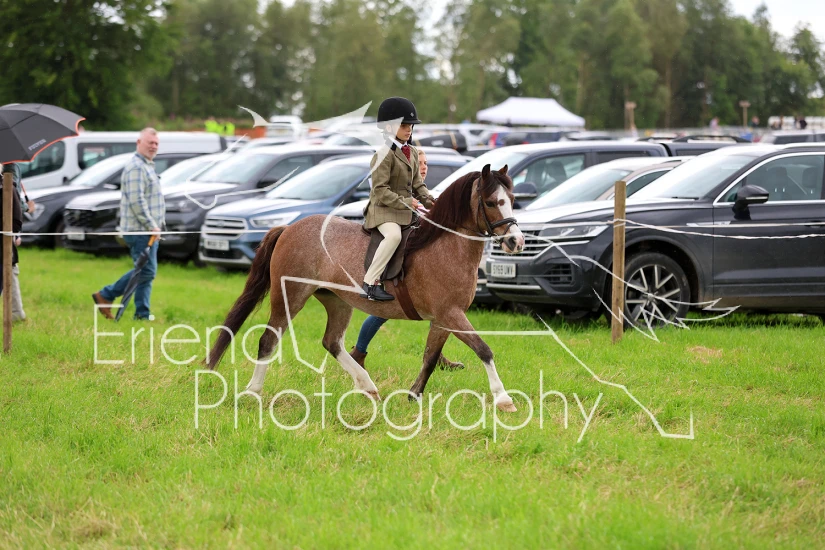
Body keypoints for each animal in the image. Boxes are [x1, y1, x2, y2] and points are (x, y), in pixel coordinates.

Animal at [207, 164, 526, 411]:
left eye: (512, 198)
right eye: (490, 202)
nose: (516, 242)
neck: (447, 246)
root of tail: (289, 228)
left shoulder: (444, 318)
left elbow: (430, 357)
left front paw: (413, 397)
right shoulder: (451, 314)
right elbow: (484, 350)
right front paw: (504, 399)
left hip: (337, 301)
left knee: (332, 342)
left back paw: (367, 386)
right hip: (290, 296)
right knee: (269, 340)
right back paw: (252, 392)